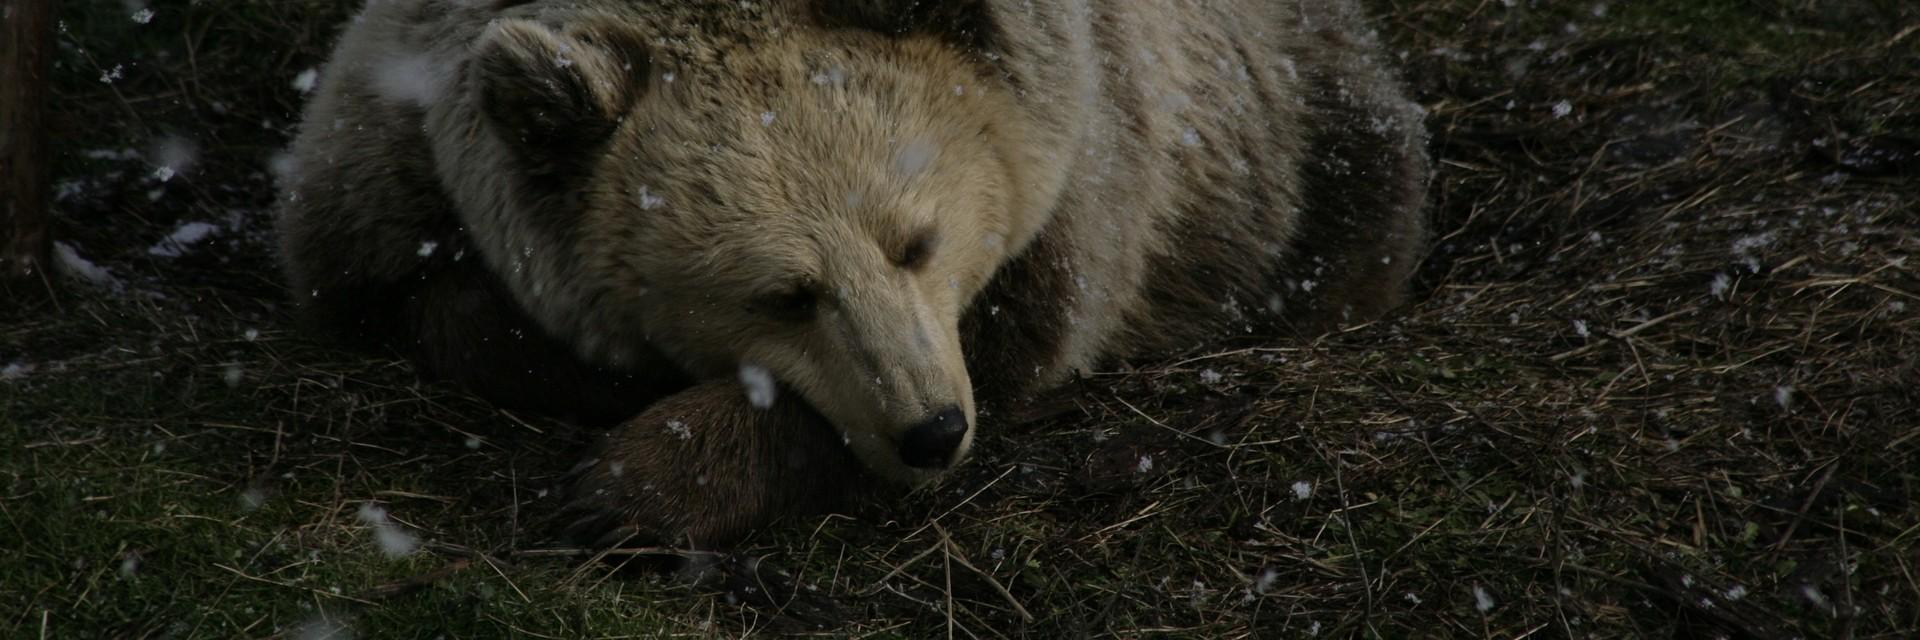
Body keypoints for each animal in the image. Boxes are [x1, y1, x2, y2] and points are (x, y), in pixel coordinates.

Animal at [276, 0, 1429, 547]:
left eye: (916, 238)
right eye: (783, 292)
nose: (931, 428)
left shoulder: (1088, 145)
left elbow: (1023, 327)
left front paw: (635, 482)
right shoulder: (388, 145)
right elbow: (408, 291)